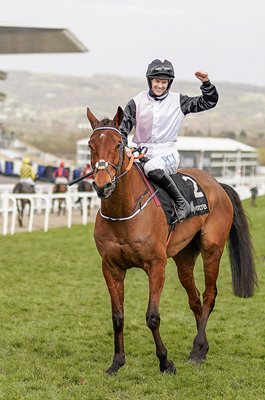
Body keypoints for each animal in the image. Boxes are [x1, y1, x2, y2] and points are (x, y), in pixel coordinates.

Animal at [86, 106, 256, 376]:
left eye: (118, 144)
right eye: (91, 145)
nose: (103, 185)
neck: (124, 211)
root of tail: (217, 183)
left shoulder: (156, 265)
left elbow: (152, 316)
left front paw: (165, 362)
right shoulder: (111, 267)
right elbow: (117, 316)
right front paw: (117, 362)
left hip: (212, 249)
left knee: (209, 295)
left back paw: (197, 350)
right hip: (184, 257)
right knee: (195, 299)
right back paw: (203, 347)